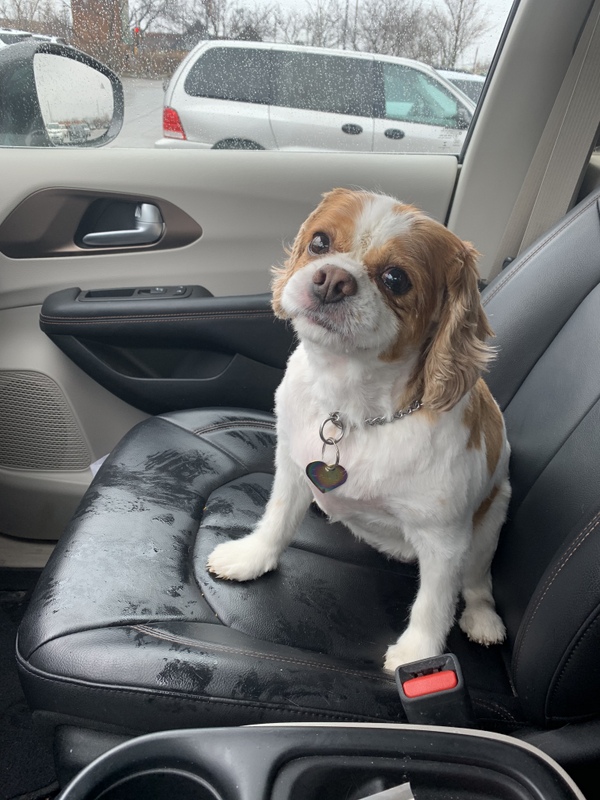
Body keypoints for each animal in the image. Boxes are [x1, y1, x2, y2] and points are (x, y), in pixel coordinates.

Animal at [207, 188, 510, 672]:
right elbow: (277, 519)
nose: (332, 278)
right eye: (320, 242)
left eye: (396, 279)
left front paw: (418, 654)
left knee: (477, 583)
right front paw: (253, 556)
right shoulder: (291, 469)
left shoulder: (444, 540)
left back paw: (482, 618)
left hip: (490, 522)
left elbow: (435, 601)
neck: (352, 407)